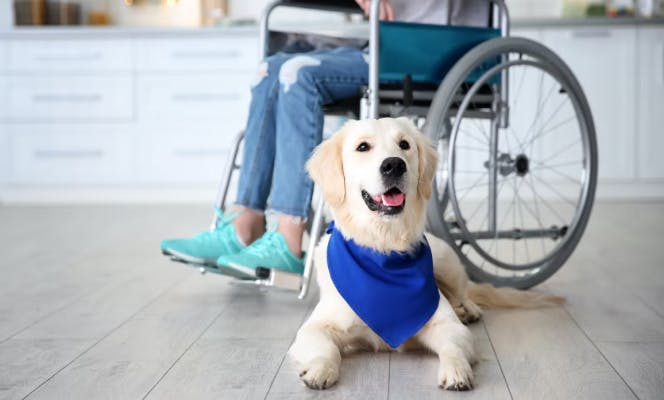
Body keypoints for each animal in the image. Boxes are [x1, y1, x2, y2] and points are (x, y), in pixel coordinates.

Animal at [294, 116, 564, 390]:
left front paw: (456, 371)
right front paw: (319, 369)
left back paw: (468, 309)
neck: (385, 247)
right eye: (363, 147)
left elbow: (453, 346)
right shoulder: (314, 327)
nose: (394, 165)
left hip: (446, 261)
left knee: (463, 292)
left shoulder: (448, 326)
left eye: (404, 144)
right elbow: (325, 348)